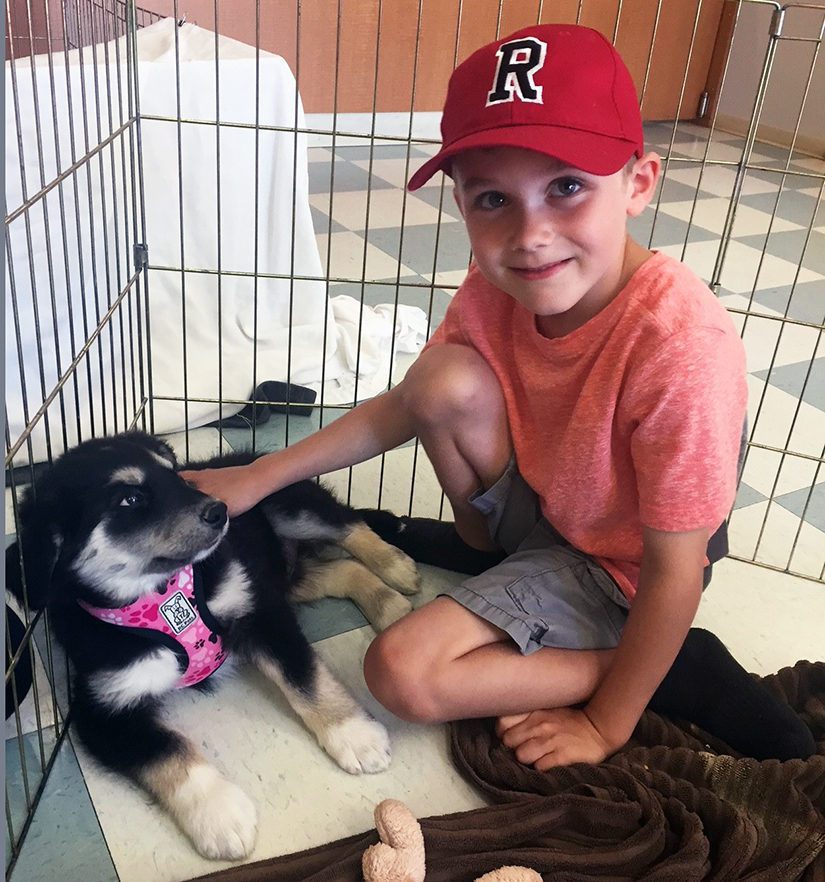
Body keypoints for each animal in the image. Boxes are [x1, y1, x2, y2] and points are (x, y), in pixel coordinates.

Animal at [4, 430, 418, 856]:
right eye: (129, 499)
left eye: (174, 475)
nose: (219, 511)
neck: (159, 596)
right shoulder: (102, 709)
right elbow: (165, 751)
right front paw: (220, 815)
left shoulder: (258, 612)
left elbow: (304, 677)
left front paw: (354, 735)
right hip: (286, 577)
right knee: (341, 570)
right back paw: (390, 605)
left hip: (289, 505)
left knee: (349, 525)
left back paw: (396, 568)